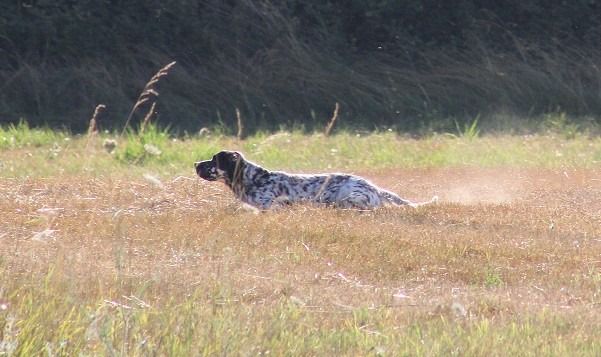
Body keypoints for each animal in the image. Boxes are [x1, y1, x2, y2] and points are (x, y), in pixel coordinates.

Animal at [196, 149, 436, 209]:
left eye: (214, 160)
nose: (195, 164)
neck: (254, 179)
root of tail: (375, 189)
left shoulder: (271, 206)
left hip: (347, 198)